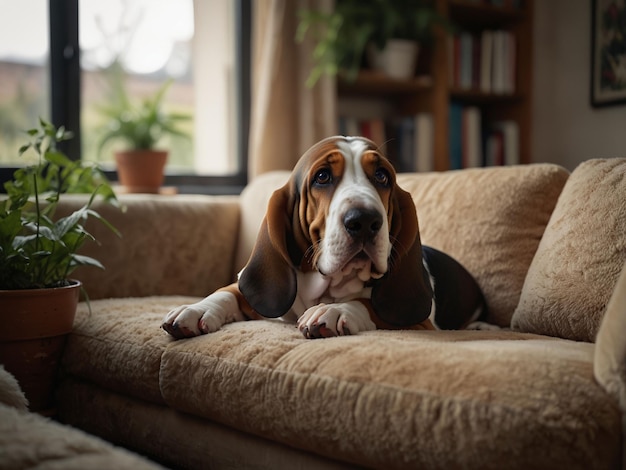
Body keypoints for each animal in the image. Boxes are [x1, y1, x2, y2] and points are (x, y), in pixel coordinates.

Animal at [161, 134, 482, 340]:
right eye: (322, 177)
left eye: (382, 176)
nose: (364, 220)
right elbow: (230, 291)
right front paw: (195, 309)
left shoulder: (420, 322)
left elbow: (369, 305)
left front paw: (335, 310)